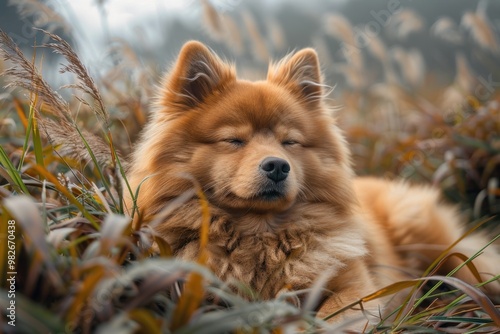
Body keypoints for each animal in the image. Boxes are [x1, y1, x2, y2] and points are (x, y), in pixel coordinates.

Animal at [125, 40, 500, 322]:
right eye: (234, 140)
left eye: (289, 142)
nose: (277, 166)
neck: (260, 236)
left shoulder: (356, 287)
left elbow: (333, 318)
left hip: (434, 240)